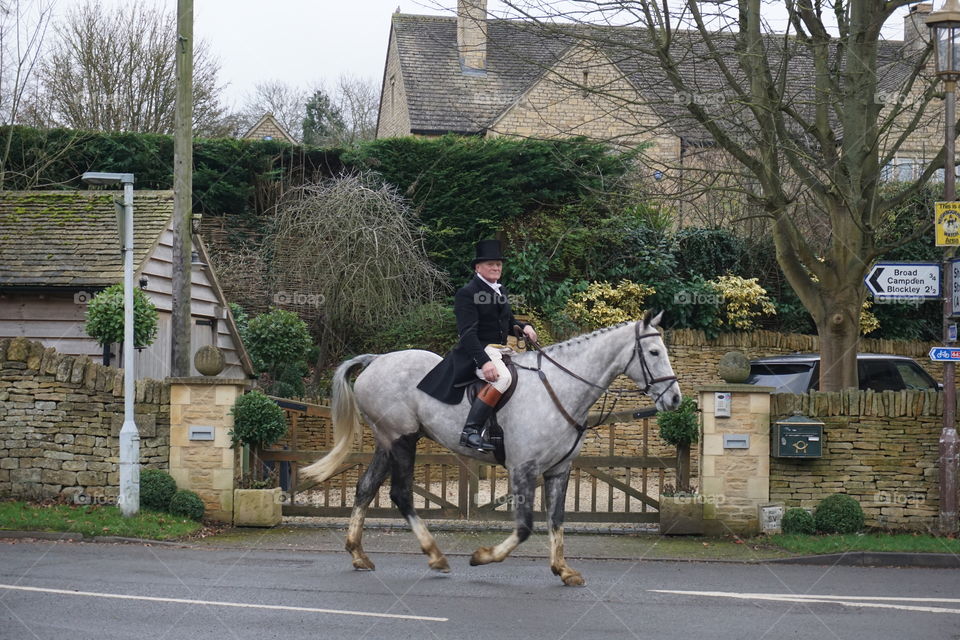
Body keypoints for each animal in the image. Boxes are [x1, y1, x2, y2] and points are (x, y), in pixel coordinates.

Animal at [302, 310, 684, 584]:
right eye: (653, 352)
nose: (676, 399)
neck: (561, 387)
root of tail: (377, 360)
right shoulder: (523, 469)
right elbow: (525, 527)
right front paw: (483, 556)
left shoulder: (558, 471)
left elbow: (556, 520)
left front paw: (562, 570)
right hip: (402, 440)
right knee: (401, 494)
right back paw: (435, 555)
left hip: (386, 442)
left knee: (366, 488)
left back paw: (358, 553)